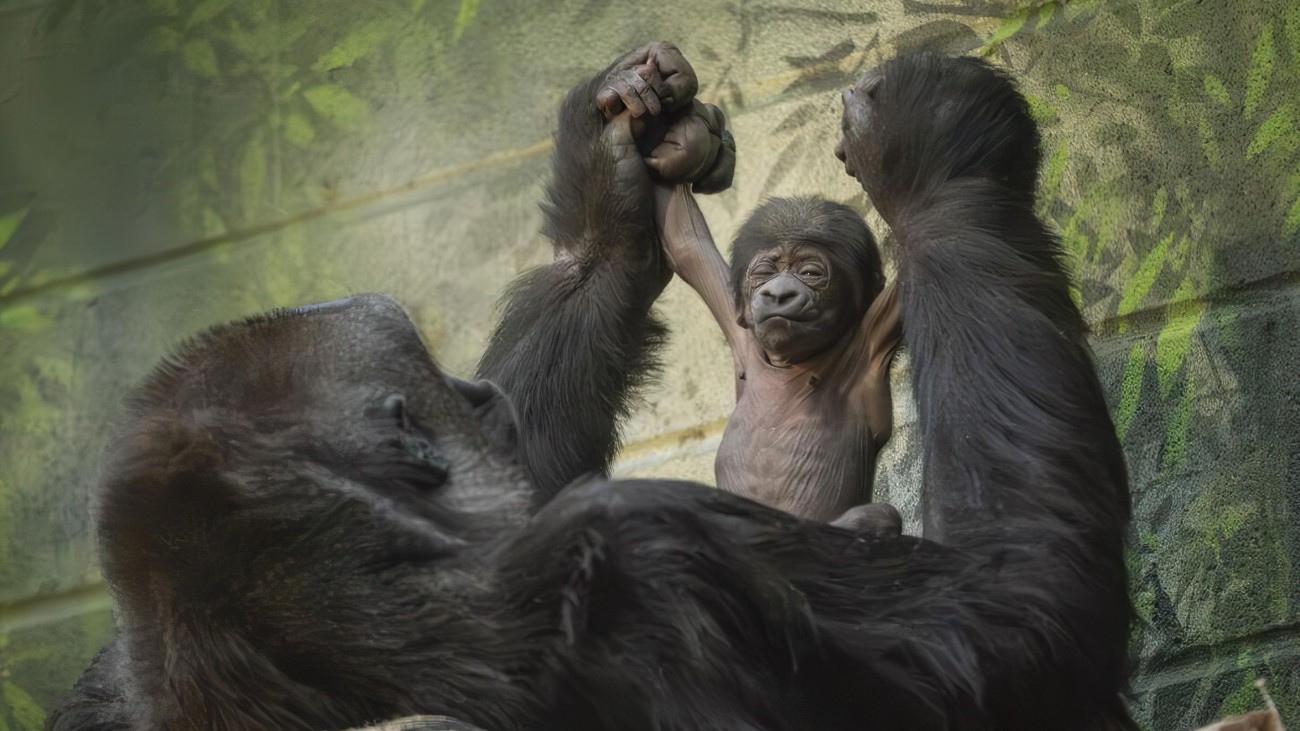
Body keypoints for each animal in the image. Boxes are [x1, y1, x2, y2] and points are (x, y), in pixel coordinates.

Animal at [655, 184, 899, 525]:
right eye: (766, 272)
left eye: (809, 272)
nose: (779, 292)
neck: (788, 363)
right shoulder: (742, 338)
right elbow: (685, 242)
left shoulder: (873, 337)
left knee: (882, 513)